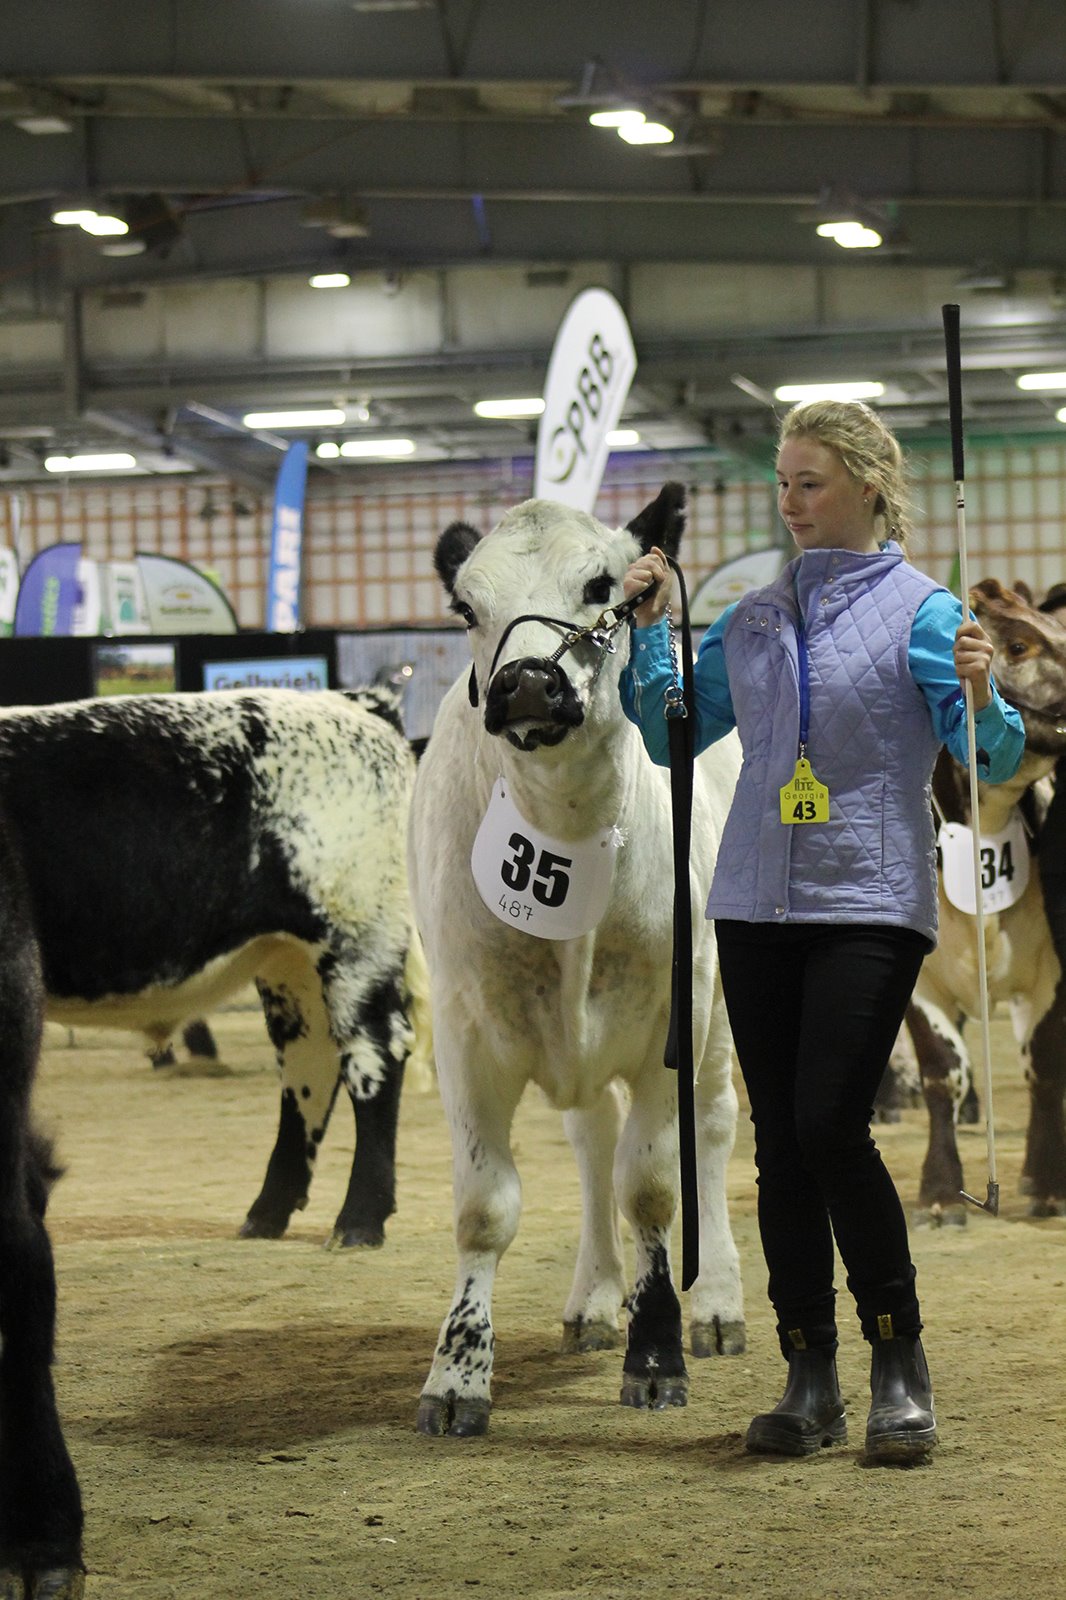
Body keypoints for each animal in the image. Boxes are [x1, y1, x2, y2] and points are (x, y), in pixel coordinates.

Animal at [0, 685, 426, 1252]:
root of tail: (354, 704)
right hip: (291, 961)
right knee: (309, 1063)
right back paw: (267, 1214)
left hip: (356, 938)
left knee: (373, 1057)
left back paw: (358, 1220)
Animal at [409, 486, 746, 1438]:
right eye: (465, 606)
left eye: (602, 584)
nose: (527, 679)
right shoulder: (464, 1030)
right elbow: (485, 1208)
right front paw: (457, 1375)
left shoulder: (673, 1017)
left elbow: (655, 1189)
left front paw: (658, 1352)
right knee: (593, 1141)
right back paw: (595, 1298)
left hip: (716, 1019)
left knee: (711, 1132)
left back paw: (717, 1302)